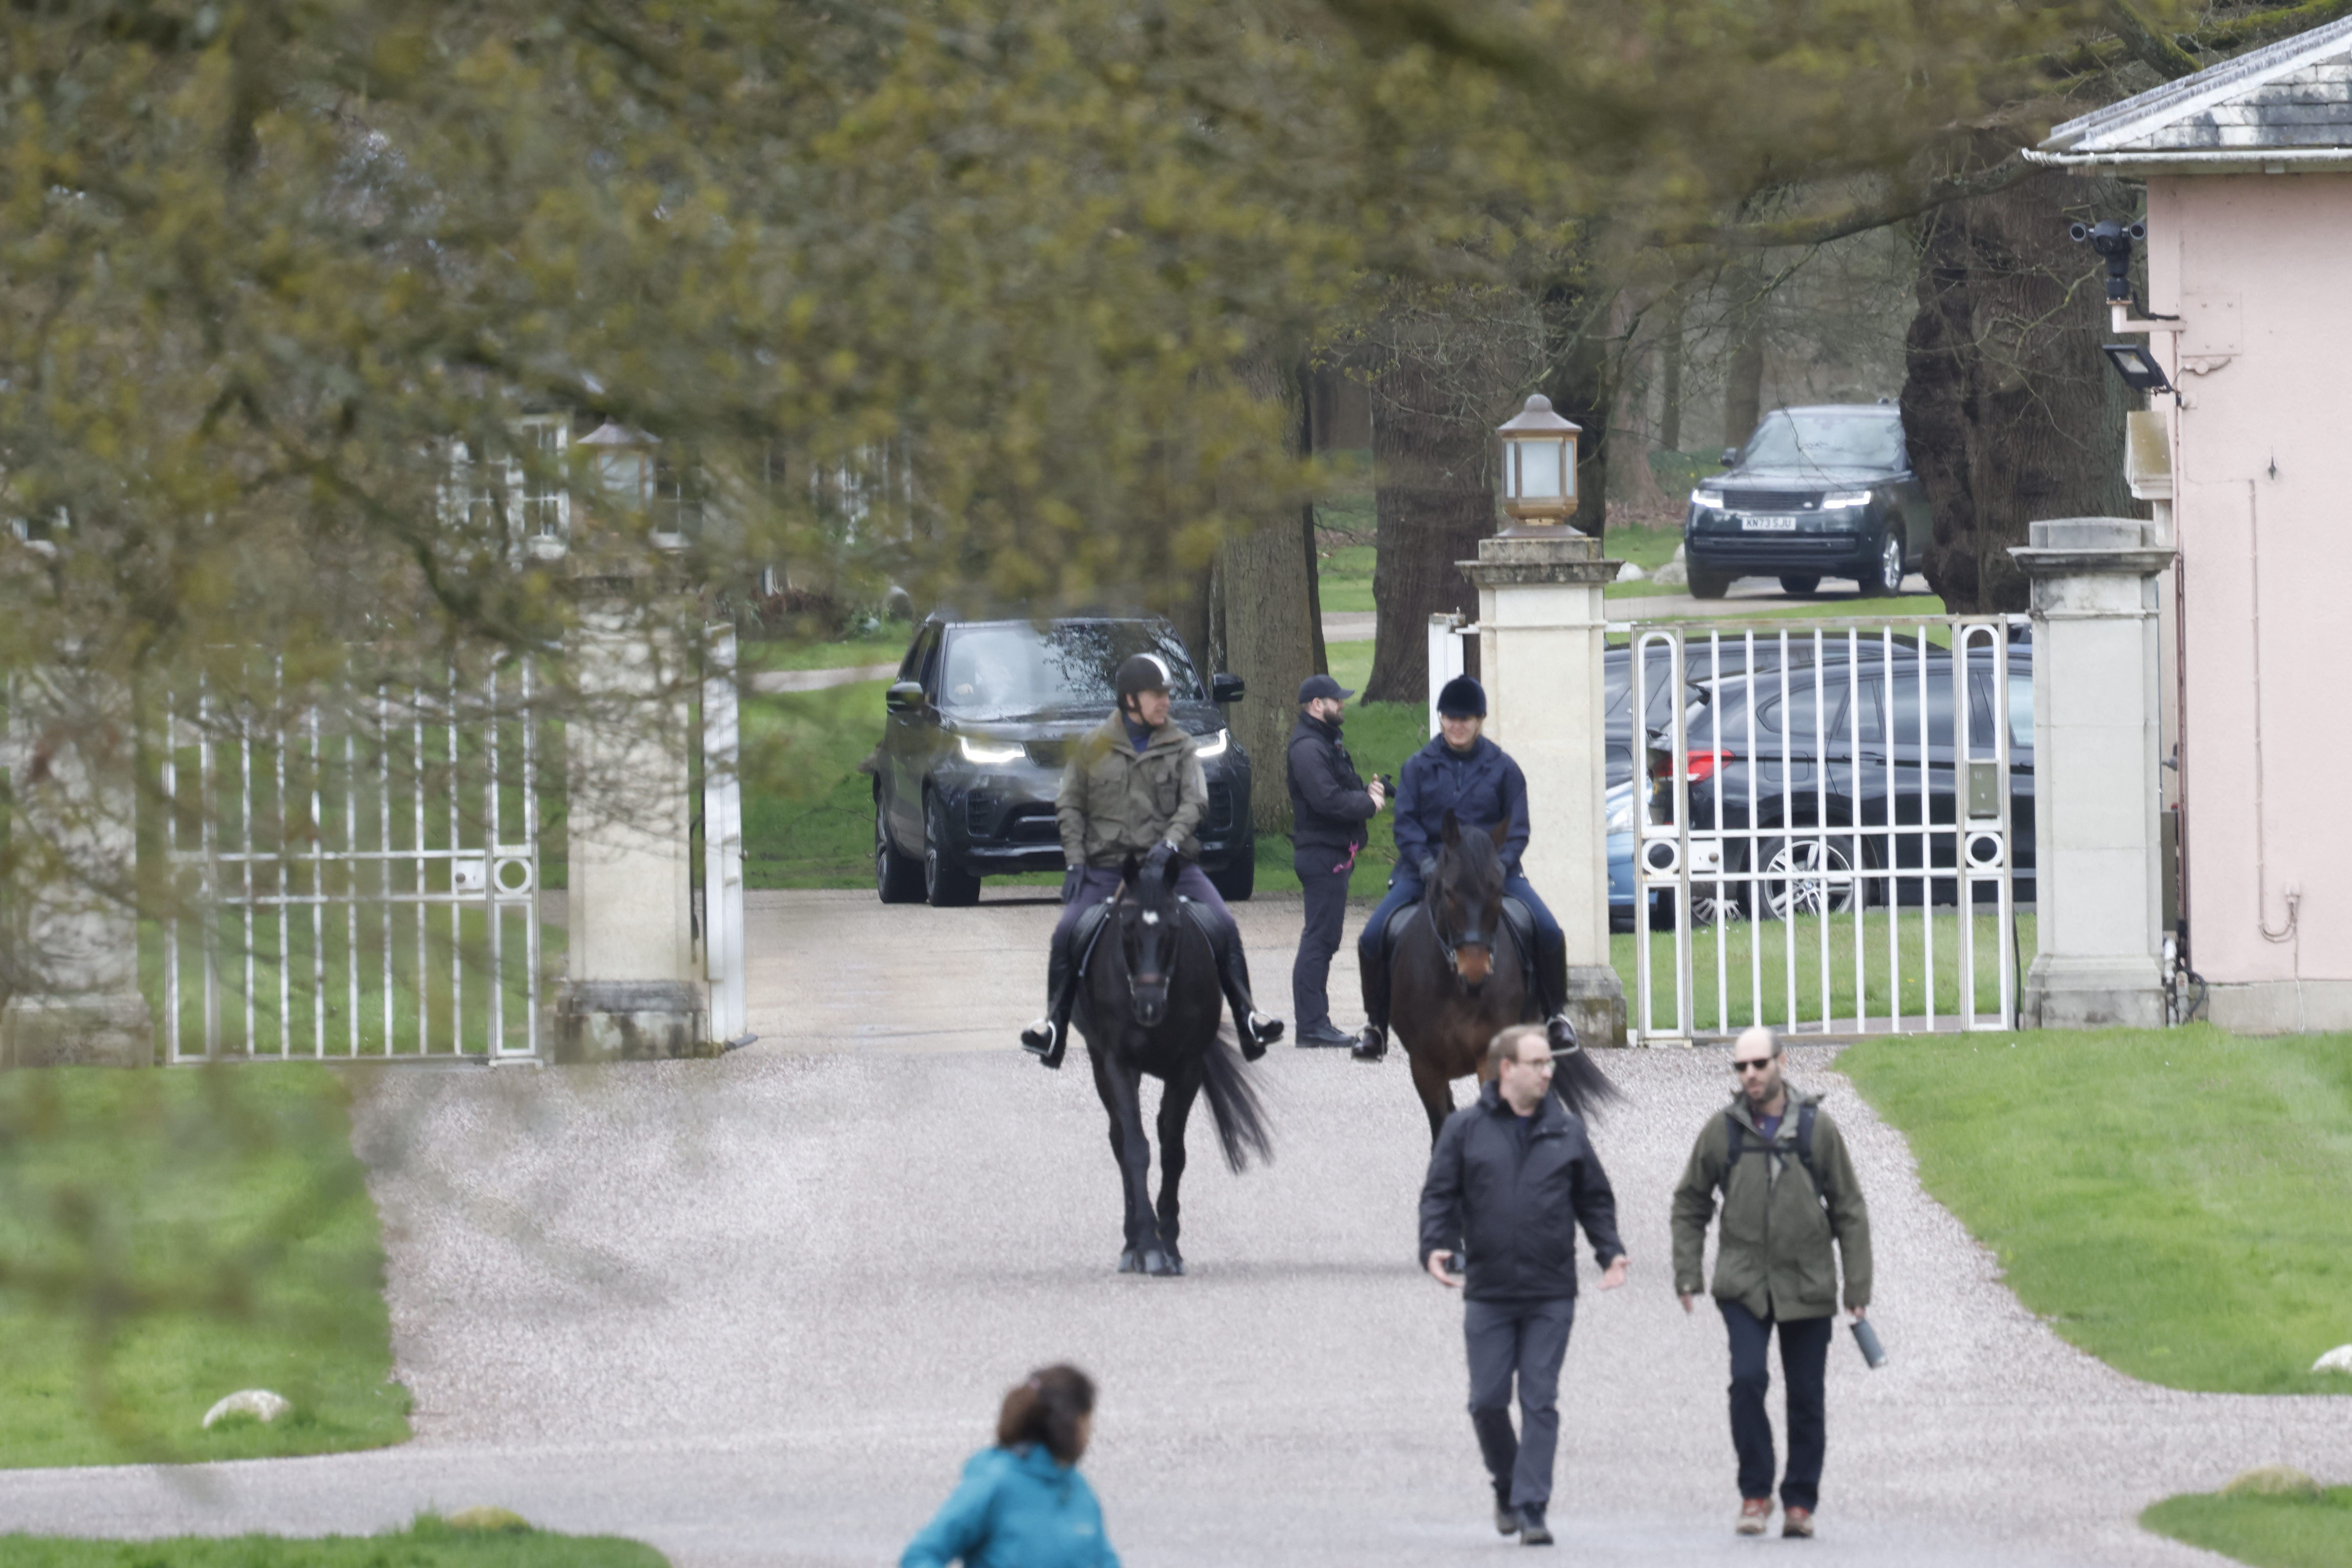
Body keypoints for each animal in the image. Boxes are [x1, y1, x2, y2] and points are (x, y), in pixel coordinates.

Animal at [1077, 851, 1279, 1279]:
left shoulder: (1188, 1067)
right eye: (1127, 926)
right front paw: (1149, 1246)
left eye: (1174, 927)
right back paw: (1131, 1244)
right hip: (1101, 1065)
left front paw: (1169, 1244)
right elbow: (1136, 1148)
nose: (1148, 1007)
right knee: (1120, 1139)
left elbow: (1173, 1150)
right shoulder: (1117, 1062)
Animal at [1383, 823, 1627, 1142]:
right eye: (1448, 892)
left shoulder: (1492, 1055)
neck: (1454, 988)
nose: (1475, 973)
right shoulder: (1425, 1067)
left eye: (1498, 890)